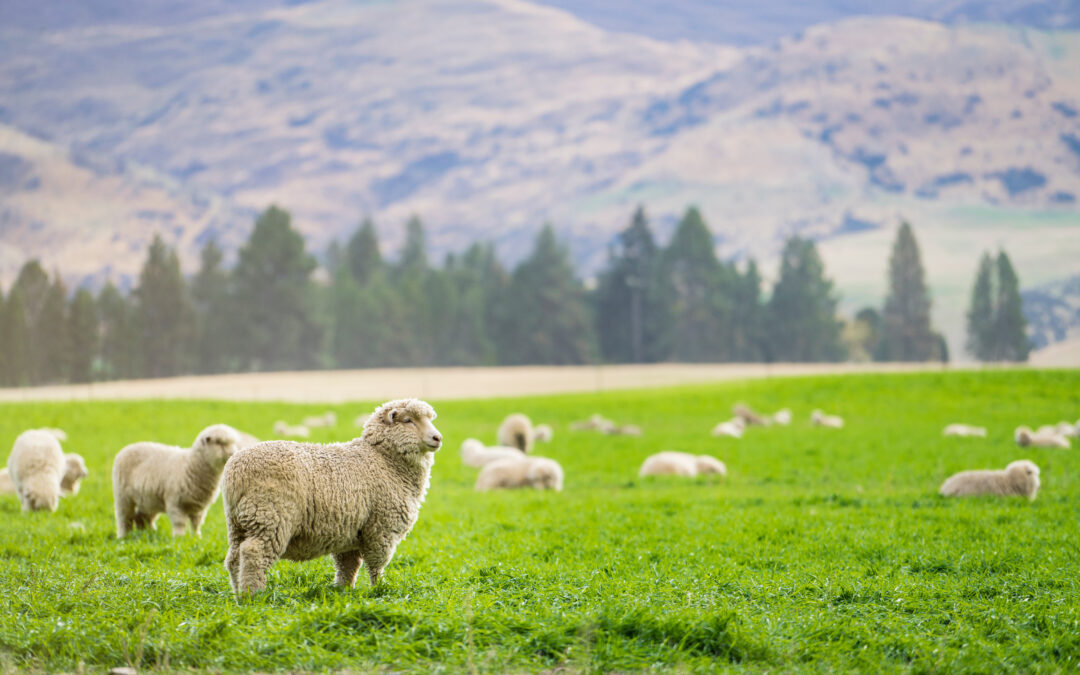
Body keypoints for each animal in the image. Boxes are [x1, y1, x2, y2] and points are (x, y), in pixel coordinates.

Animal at [112, 421, 241, 537]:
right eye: (219, 442)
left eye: (233, 442)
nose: (233, 453)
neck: (191, 465)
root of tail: (126, 448)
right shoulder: (175, 502)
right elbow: (180, 523)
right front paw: (179, 538)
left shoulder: (198, 506)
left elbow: (196, 524)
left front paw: (196, 537)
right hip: (123, 496)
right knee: (124, 518)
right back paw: (125, 536)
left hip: (148, 499)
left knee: (142, 517)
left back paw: (148, 534)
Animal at [221, 395, 440, 596]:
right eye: (408, 420)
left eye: (430, 419)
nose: (438, 438)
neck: (383, 459)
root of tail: (234, 471)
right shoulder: (380, 528)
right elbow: (377, 565)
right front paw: (379, 588)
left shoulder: (351, 532)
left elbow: (348, 566)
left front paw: (343, 591)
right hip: (271, 516)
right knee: (253, 553)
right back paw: (253, 595)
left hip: (240, 521)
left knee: (234, 558)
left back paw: (238, 592)